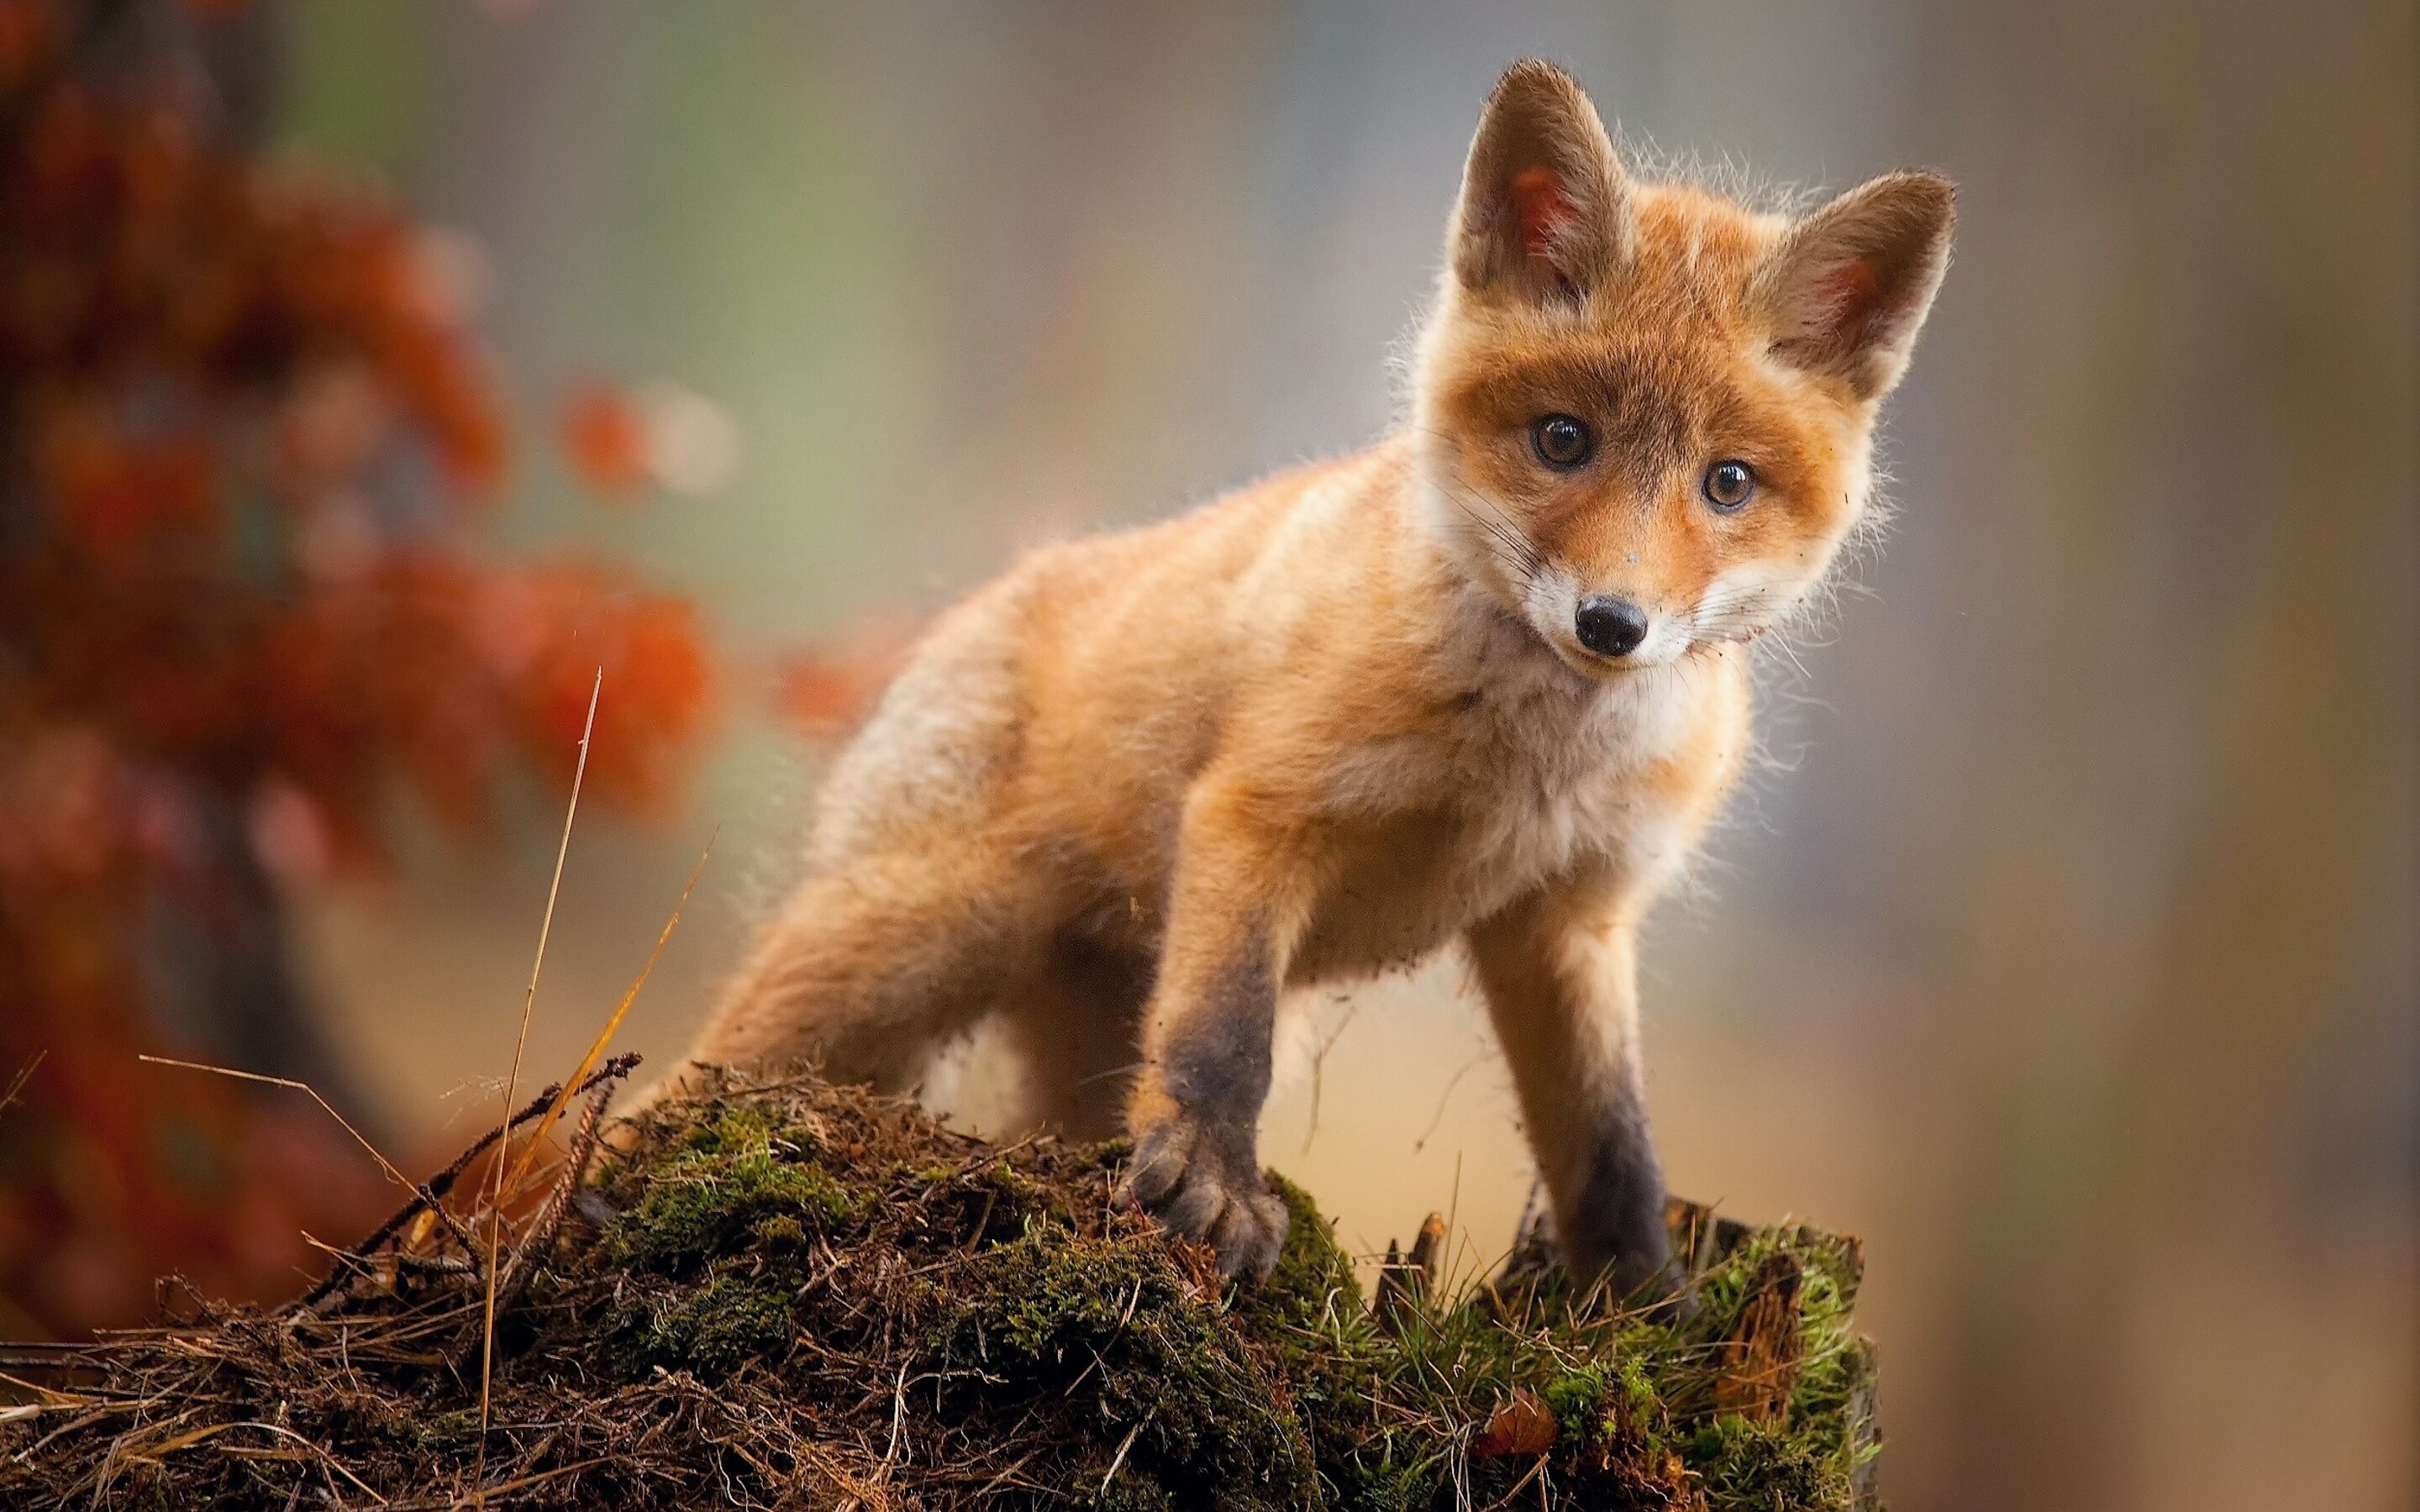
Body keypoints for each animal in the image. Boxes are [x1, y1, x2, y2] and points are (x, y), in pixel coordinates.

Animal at [654, 60, 1953, 1292]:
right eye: (1563, 440)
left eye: (1727, 484)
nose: (1613, 622)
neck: (1524, 762)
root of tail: (988, 598)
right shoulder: (1262, 811)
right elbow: (1228, 1037)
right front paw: (1214, 1186)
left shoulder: (1569, 918)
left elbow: (1612, 1151)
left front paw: (1646, 1311)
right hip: (895, 953)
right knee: (673, 1089)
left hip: (1068, 1035)